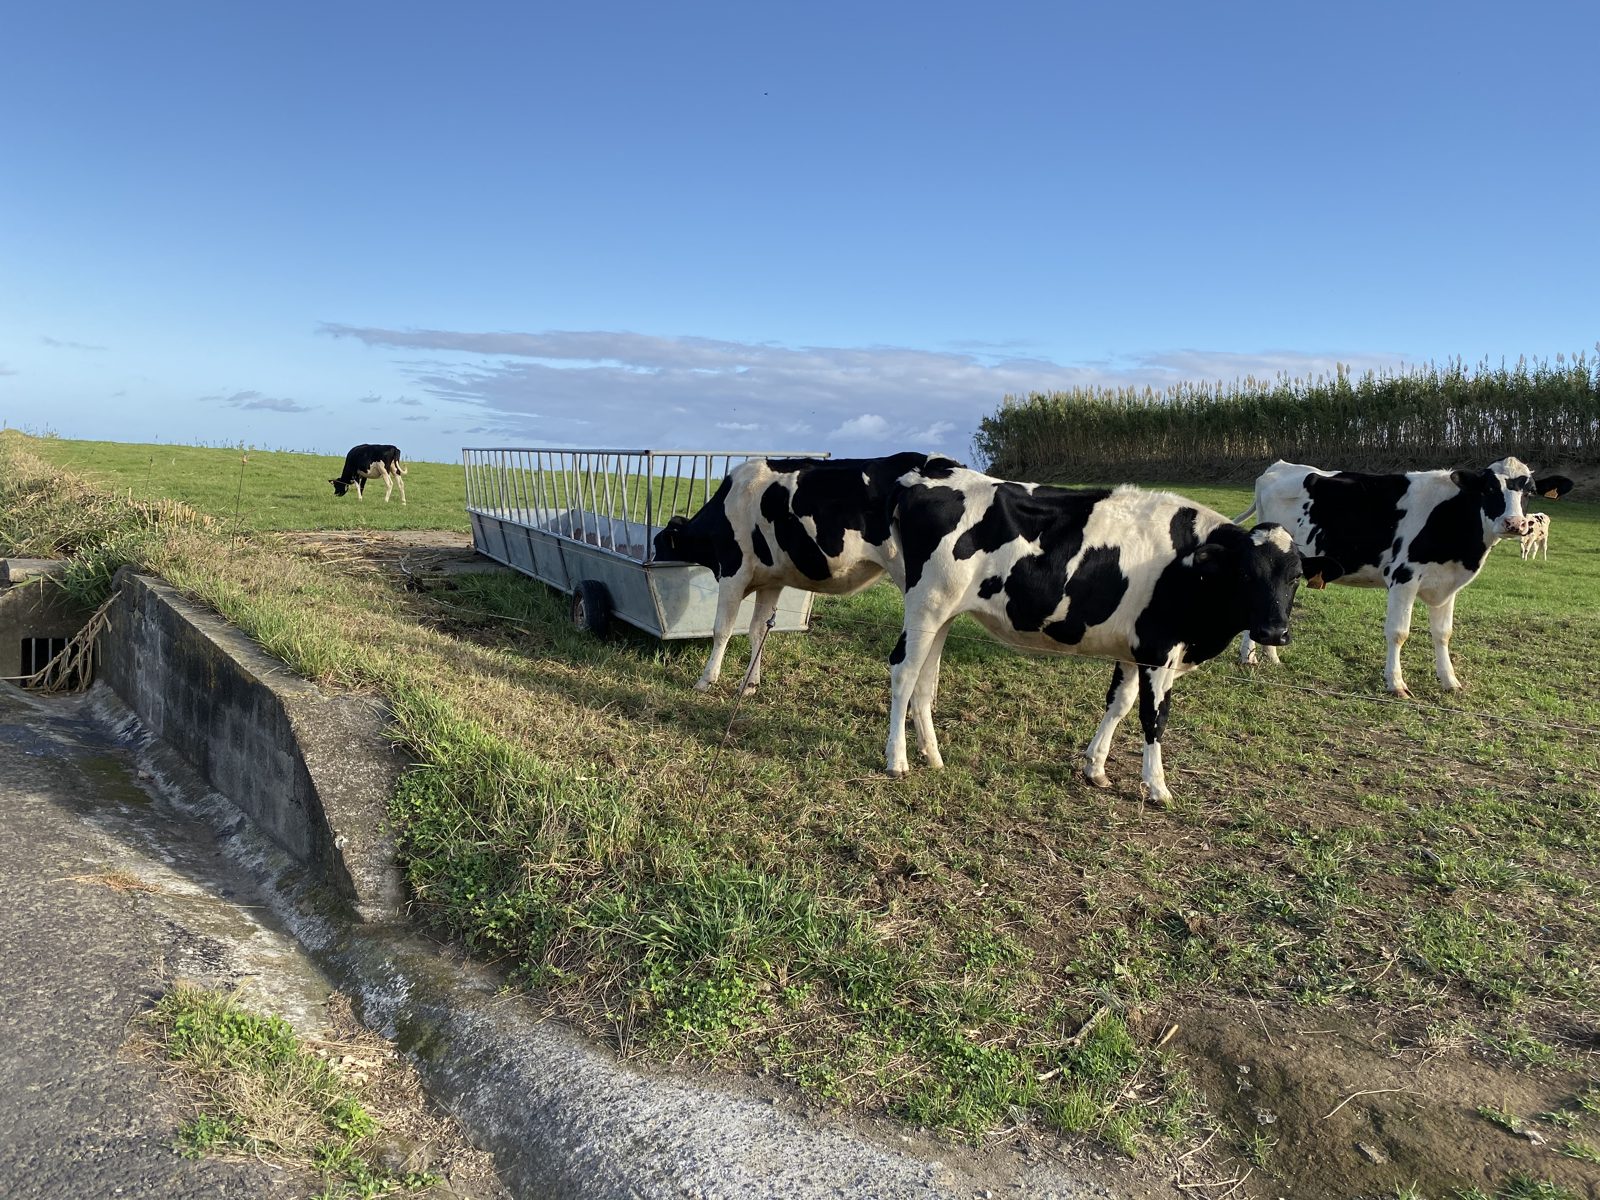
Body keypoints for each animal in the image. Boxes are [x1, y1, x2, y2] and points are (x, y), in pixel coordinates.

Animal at [653, 452, 963, 694]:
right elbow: (757, 630)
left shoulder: (733, 569)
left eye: (658, 545)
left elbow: (722, 629)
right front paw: (750, 684)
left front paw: (706, 680)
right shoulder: (771, 580)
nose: (651, 560)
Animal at [884, 467, 1340, 804]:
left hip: (942, 614)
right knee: (903, 672)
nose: (1274, 632)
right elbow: (1155, 717)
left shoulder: (1133, 650)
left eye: (1295, 576)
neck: (1192, 569)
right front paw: (1157, 787)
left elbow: (1119, 704)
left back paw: (933, 756)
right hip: (926, 604)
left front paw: (1096, 767)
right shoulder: (1158, 651)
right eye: (1246, 574)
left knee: (924, 679)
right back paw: (897, 760)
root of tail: (921, 479)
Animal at [1234, 458, 1574, 696]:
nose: (1515, 524)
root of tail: (1278, 467)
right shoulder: (1403, 577)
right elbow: (1399, 633)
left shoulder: (1448, 585)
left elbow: (1443, 634)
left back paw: (1270, 656)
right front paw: (1395, 683)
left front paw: (1450, 681)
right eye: (1490, 488)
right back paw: (1249, 658)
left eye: (1529, 491)